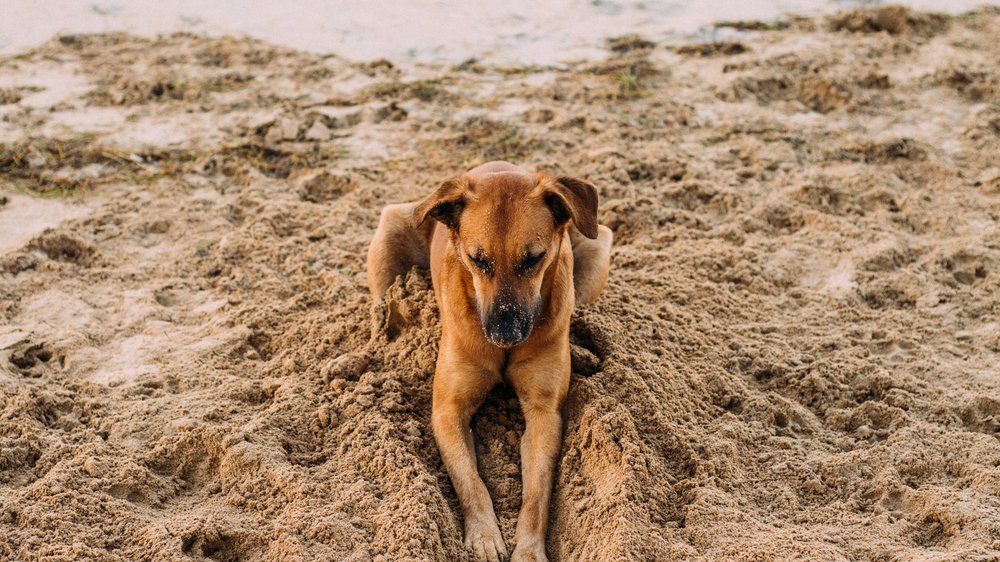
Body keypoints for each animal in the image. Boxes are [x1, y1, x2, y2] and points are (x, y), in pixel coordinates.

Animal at [370, 161, 608, 560]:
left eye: (533, 258)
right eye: (477, 259)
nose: (504, 333)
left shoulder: (544, 413)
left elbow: (537, 492)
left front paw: (528, 548)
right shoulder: (448, 411)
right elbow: (470, 480)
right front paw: (483, 536)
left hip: (596, 241)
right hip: (389, 235)